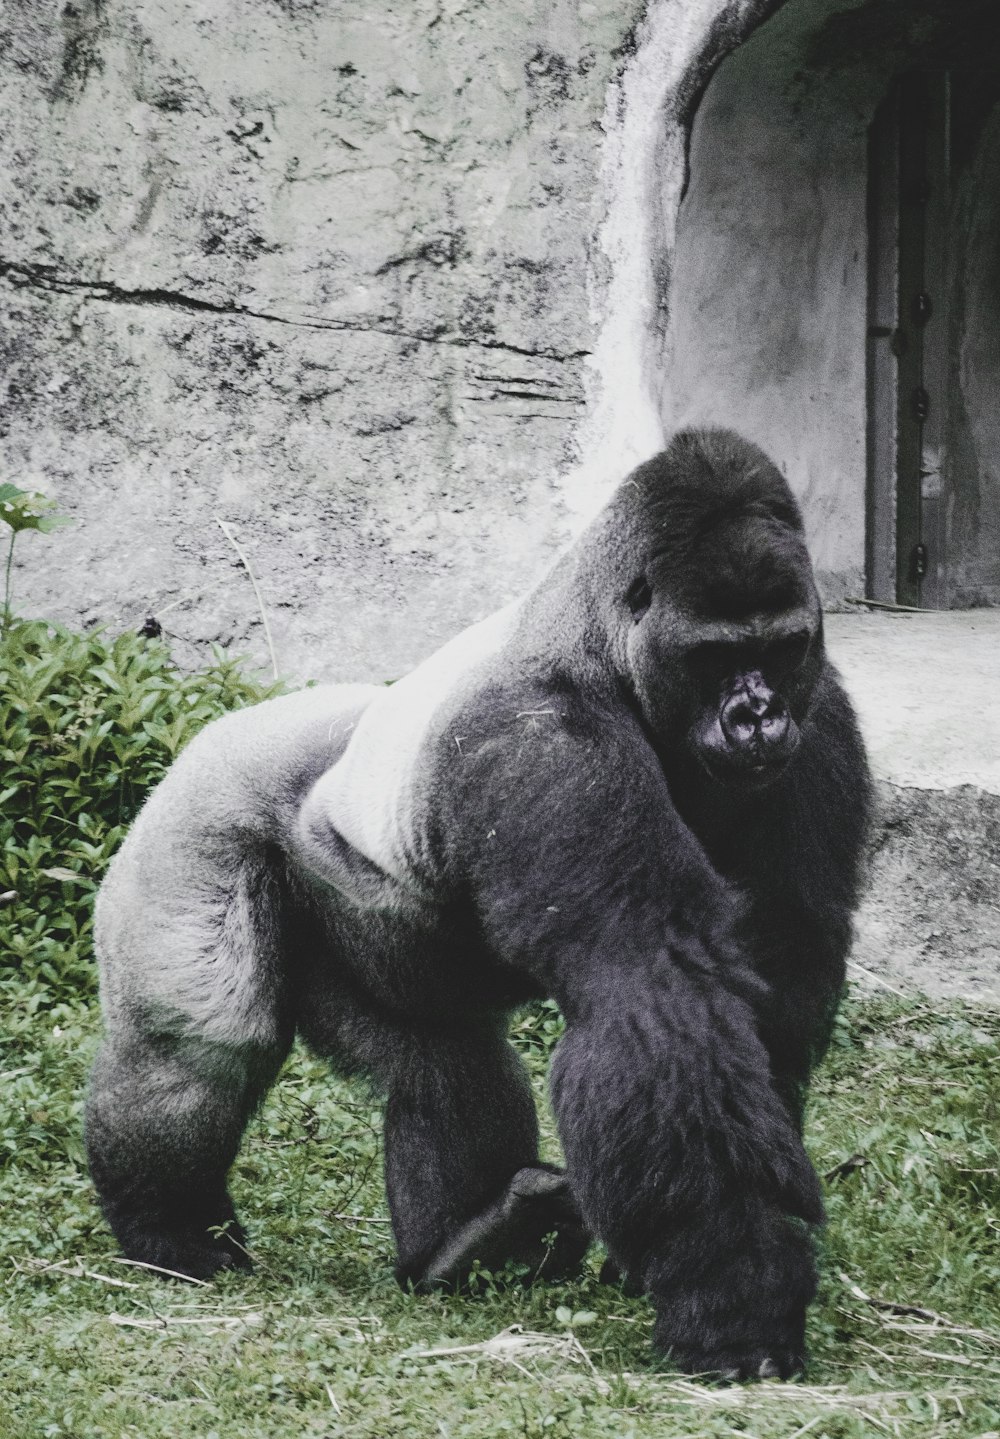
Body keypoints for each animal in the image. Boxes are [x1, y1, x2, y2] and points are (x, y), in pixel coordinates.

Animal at [85, 428, 874, 1381]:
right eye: (714, 655)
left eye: (782, 646)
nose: (756, 717)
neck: (602, 639)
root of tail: (221, 727)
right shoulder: (548, 740)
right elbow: (649, 991)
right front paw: (736, 1292)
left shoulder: (819, 712)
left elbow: (783, 975)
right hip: (197, 819)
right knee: (197, 1044)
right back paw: (170, 1229)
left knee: (443, 1058)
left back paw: (467, 1243)